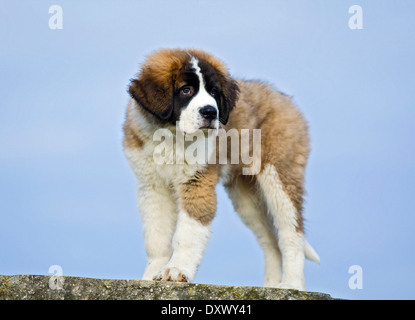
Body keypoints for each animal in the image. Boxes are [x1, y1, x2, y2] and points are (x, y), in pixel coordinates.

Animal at [122, 48, 320, 292]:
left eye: (214, 92)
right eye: (186, 90)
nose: (210, 112)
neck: (171, 135)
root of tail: (282, 96)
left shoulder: (197, 182)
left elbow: (187, 232)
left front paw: (176, 269)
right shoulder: (152, 187)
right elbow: (156, 237)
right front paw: (150, 276)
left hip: (279, 177)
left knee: (291, 233)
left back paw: (292, 285)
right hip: (247, 198)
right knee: (270, 242)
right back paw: (271, 286)